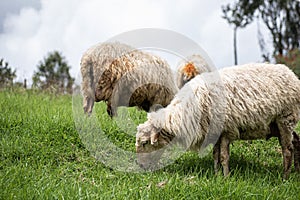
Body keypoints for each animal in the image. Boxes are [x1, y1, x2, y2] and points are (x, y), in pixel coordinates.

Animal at [136, 63, 300, 179]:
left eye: (145, 143)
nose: (140, 166)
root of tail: (292, 75)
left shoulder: (226, 130)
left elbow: (223, 156)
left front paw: (226, 178)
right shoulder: (214, 132)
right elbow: (215, 155)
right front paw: (216, 175)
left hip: (285, 118)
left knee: (287, 149)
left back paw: (284, 177)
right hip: (276, 125)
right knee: (296, 141)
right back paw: (297, 171)